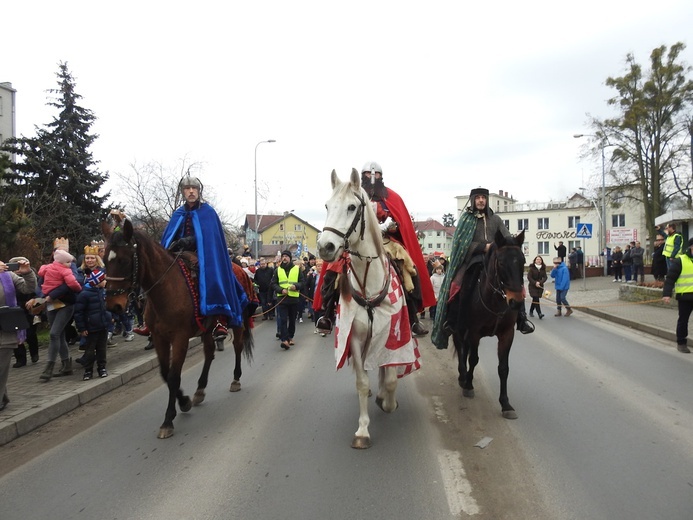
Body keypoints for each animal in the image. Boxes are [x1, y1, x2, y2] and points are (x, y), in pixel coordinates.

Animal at [102, 219, 254, 438]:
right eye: (105, 261)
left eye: (123, 260)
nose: (113, 306)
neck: (166, 289)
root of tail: (240, 269)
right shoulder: (159, 338)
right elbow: (165, 373)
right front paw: (184, 401)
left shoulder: (180, 338)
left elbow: (174, 376)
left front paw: (168, 419)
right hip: (206, 330)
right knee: (209, 353)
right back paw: (200, 390)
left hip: (238, 320)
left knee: (238, 346)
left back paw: (235, 379)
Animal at [316, 169, 418, 448]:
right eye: (327, 205)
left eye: (352, 207)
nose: (325, 247)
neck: (369, 285)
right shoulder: (353, 338)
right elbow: (362, 382)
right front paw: (362, 430)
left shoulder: (393, 335)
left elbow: (391, 379)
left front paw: (387, 401)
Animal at [446, 230, 528, 416]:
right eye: (501, 262)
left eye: (523, 261)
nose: (516, 302)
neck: (496, 299)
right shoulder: (474, 332)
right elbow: (474, 359)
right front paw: (468, 386)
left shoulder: (507, 334)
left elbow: (503, 368)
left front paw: (505, 403)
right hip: (459, 328)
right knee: (461, 348)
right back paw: (462, 377)